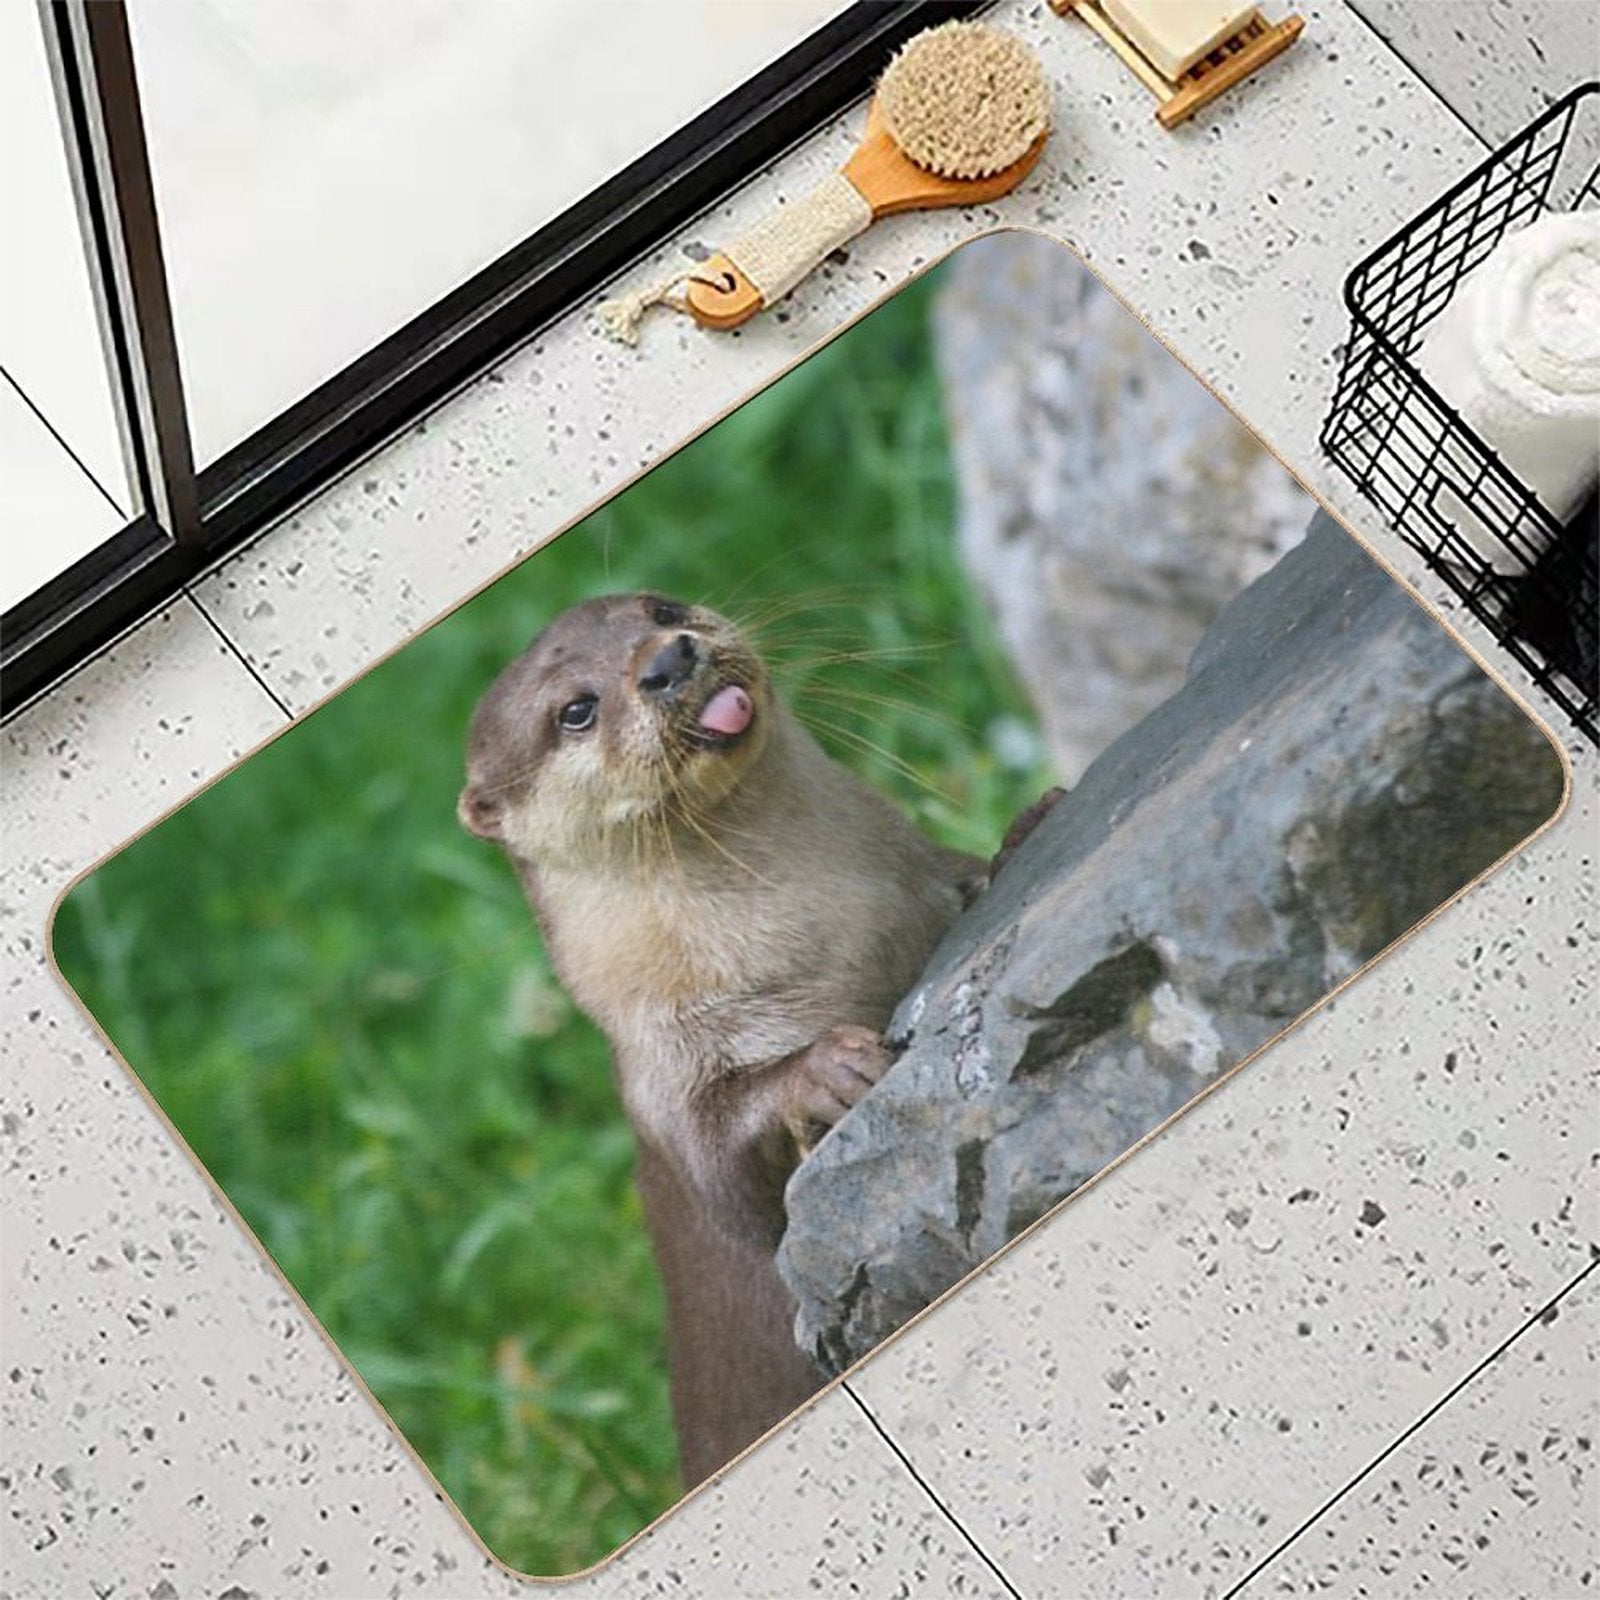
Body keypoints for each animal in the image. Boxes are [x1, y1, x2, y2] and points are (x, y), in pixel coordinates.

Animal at [459, 592, 1036, 1486]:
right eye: (575, 710)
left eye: (660, 608)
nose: (668, 660)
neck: (830, 934)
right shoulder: (660, 1080)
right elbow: (729, 1174)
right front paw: (825, 1072)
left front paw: (1020, 835)